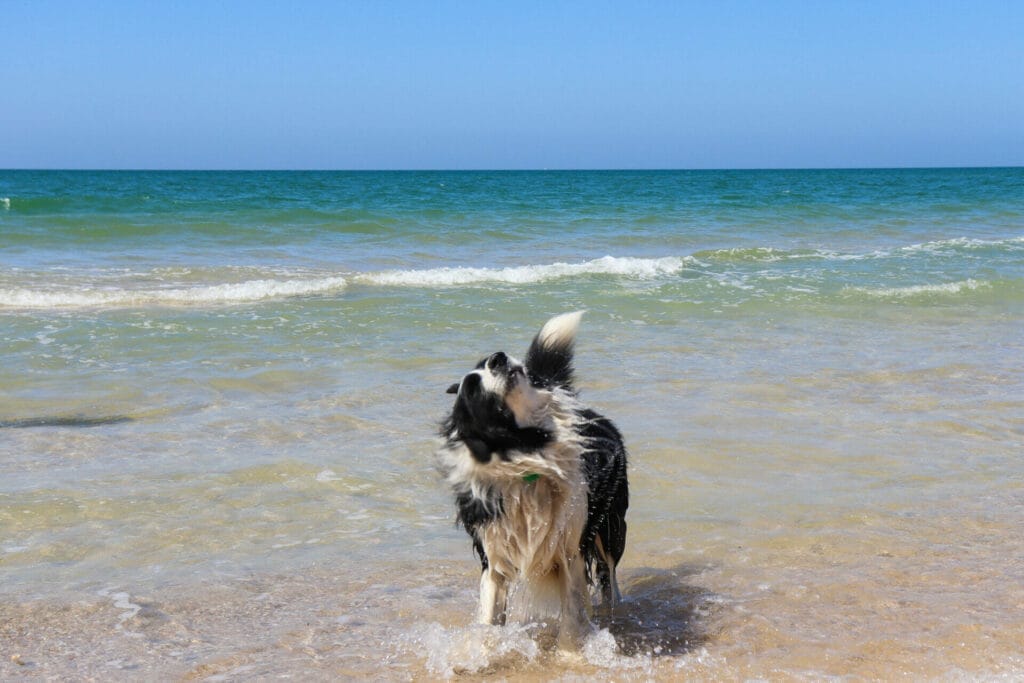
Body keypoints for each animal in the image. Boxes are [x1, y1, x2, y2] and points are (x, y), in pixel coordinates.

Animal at [442, 313, 630, 643]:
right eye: (476, 391)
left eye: (484, 363)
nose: (498, 357)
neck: (527, 461)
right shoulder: (493, 556)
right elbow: (489, 619)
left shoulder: (570, 550)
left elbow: (572, 616)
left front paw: (571, 652)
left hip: (610, 524)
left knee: (609, 576)